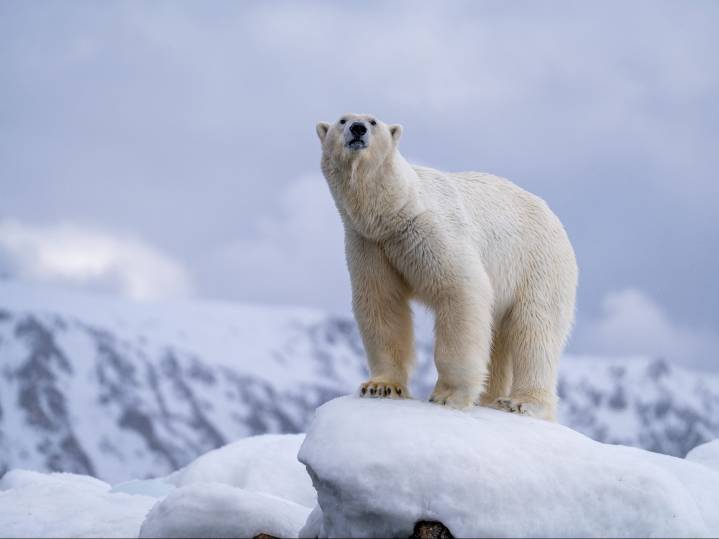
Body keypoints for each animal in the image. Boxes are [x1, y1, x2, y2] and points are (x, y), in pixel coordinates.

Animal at [316, 113, 577, 421]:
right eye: (342, 120)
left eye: (373, 121)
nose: (357, 129)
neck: (392, 211)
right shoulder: (368, 245)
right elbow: (382, 304)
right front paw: (380, 386)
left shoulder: (428, 230)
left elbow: (460, 289)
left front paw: (448, 395)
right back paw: (490, 398)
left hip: (538, 264)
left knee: (534, 328)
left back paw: (521, 402)